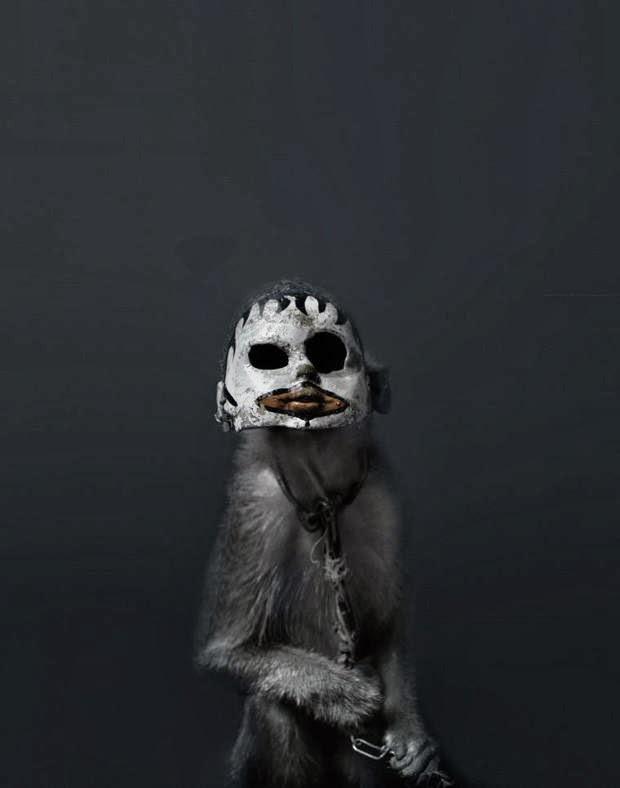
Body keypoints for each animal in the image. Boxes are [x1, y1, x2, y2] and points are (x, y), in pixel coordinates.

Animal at [194, 281, 449, 788]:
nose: (307, 372)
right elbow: (228, 652)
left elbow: (389, 627)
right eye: (269, 357)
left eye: (328, 353)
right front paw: (348, 695)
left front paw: (410, 734)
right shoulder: (257, 507)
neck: (321, 490)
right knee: (274, 708)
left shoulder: (379, 495)